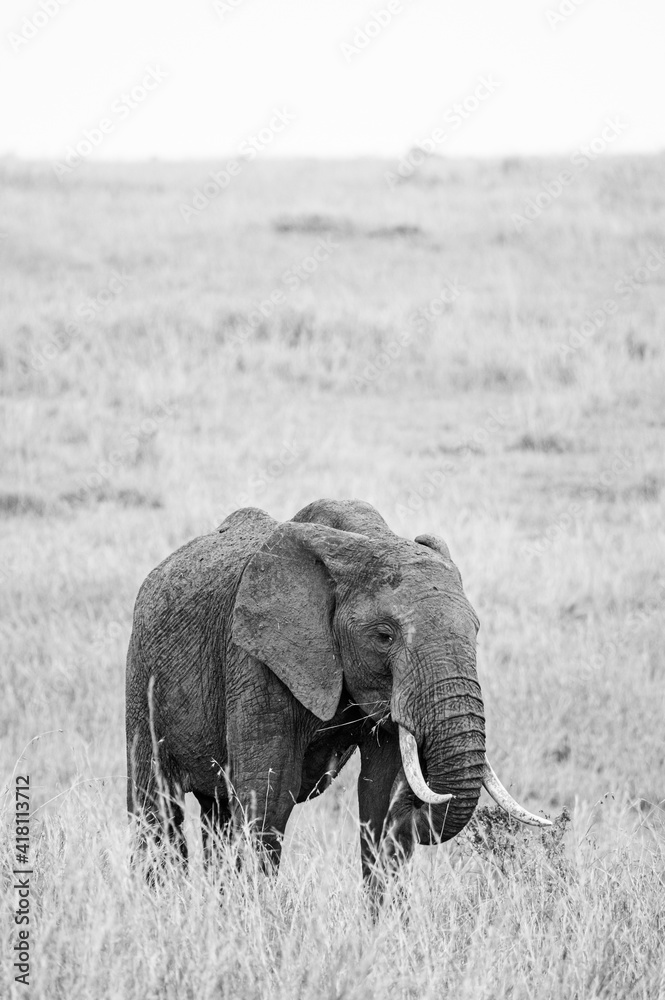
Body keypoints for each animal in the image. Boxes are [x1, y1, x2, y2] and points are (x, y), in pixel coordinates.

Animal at [125, 497, 549, 884]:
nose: (422, 799)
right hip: (141, 671)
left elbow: (380, 800)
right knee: (157, 804)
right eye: (384, 636)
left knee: (217, 811)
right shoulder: (255, 657)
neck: (363, 541)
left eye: (475, 631)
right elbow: (268, 795)